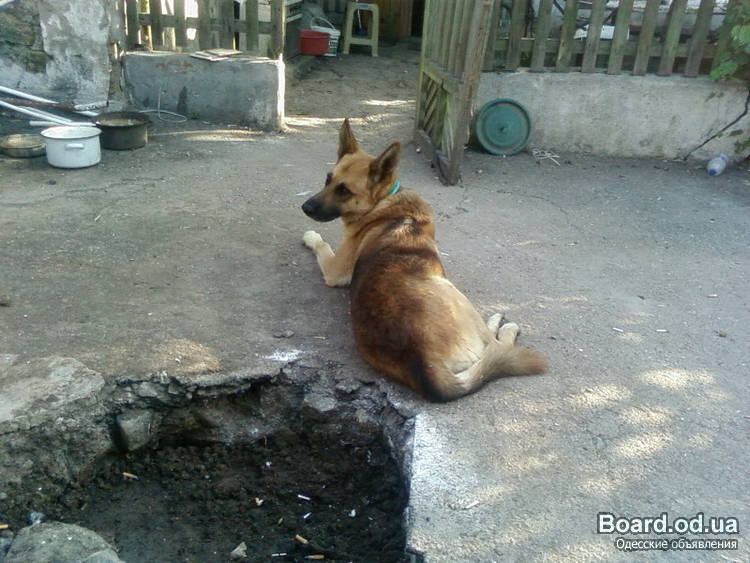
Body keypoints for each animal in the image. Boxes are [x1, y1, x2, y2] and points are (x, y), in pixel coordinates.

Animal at [301, 119, 546, 402]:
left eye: (343, 190)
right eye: (328, 179)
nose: (305, 208)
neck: (383, 205)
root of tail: (422, 360)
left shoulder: (334, 269)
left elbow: (322, 243)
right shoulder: (334, 270)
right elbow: (321, 242)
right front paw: (311, 235)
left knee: (493, 347)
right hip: (453, 293)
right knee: (494, 347)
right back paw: (502, 326)